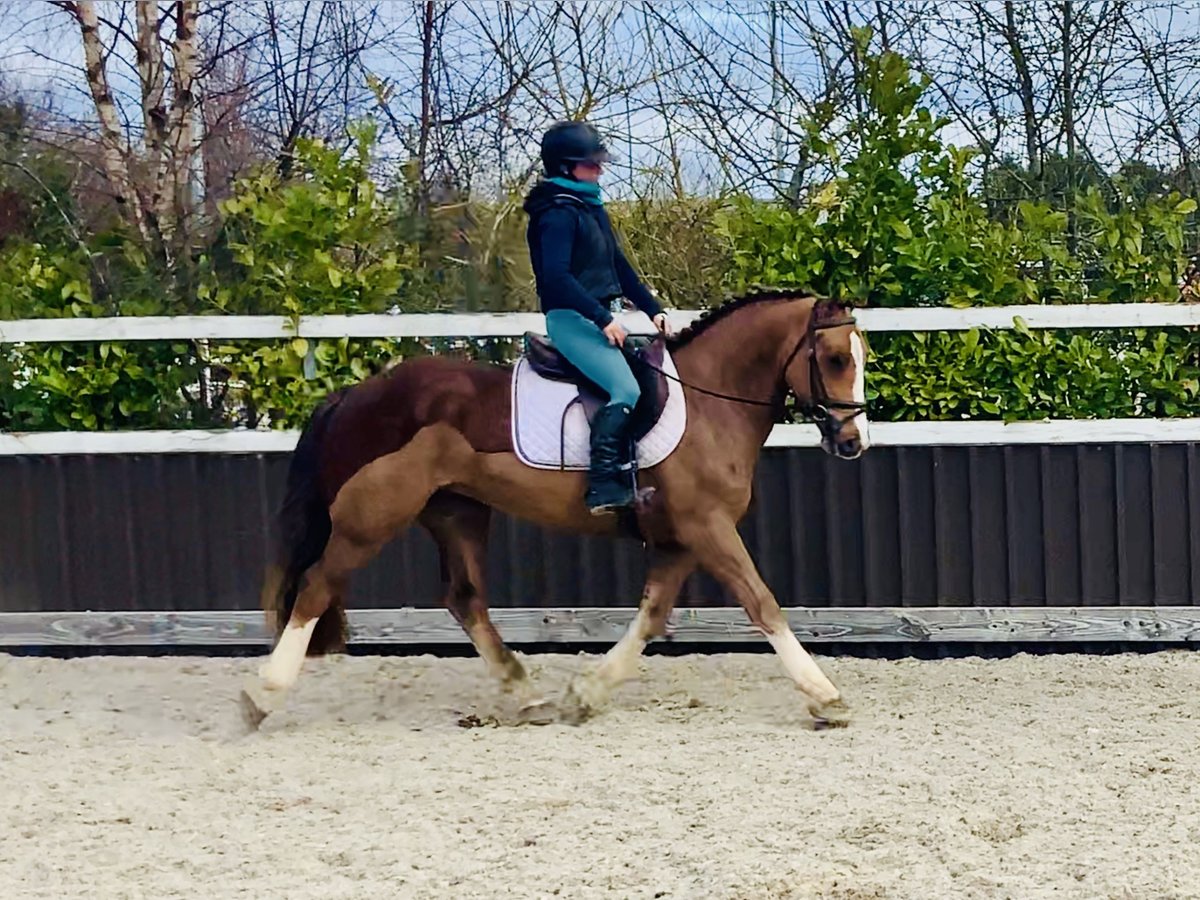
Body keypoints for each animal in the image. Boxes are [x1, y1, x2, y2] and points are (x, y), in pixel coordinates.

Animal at [238, 289, 873, 734]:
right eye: (834, 358)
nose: (853, 442)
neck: (708, 402)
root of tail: (358, 392)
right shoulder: (707, 528)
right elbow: (762, 602)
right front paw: (827, 697)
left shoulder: (678, 540)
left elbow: (651, 617)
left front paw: (585, 694)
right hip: (374, 516)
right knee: (316, 586)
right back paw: (261, 696)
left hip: (457, 511)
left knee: (464, 599)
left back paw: (528, 695)